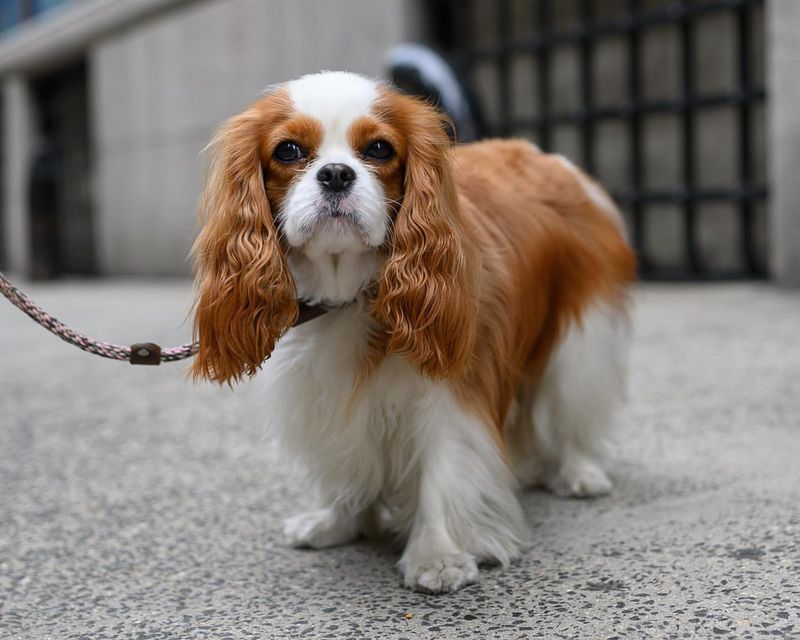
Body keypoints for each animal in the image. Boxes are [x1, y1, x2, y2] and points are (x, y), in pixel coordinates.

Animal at [191, 71, 636, 596]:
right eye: (288, 151)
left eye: (380, 149)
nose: (336, 174)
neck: (350, 292)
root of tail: (548, 158)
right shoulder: (324, 393)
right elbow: (346, 458)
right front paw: (336, 522)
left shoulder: (452, 388)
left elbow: (443, 467)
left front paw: (438, 555)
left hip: (580, 339)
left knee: (573, 407)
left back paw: (579, 472)